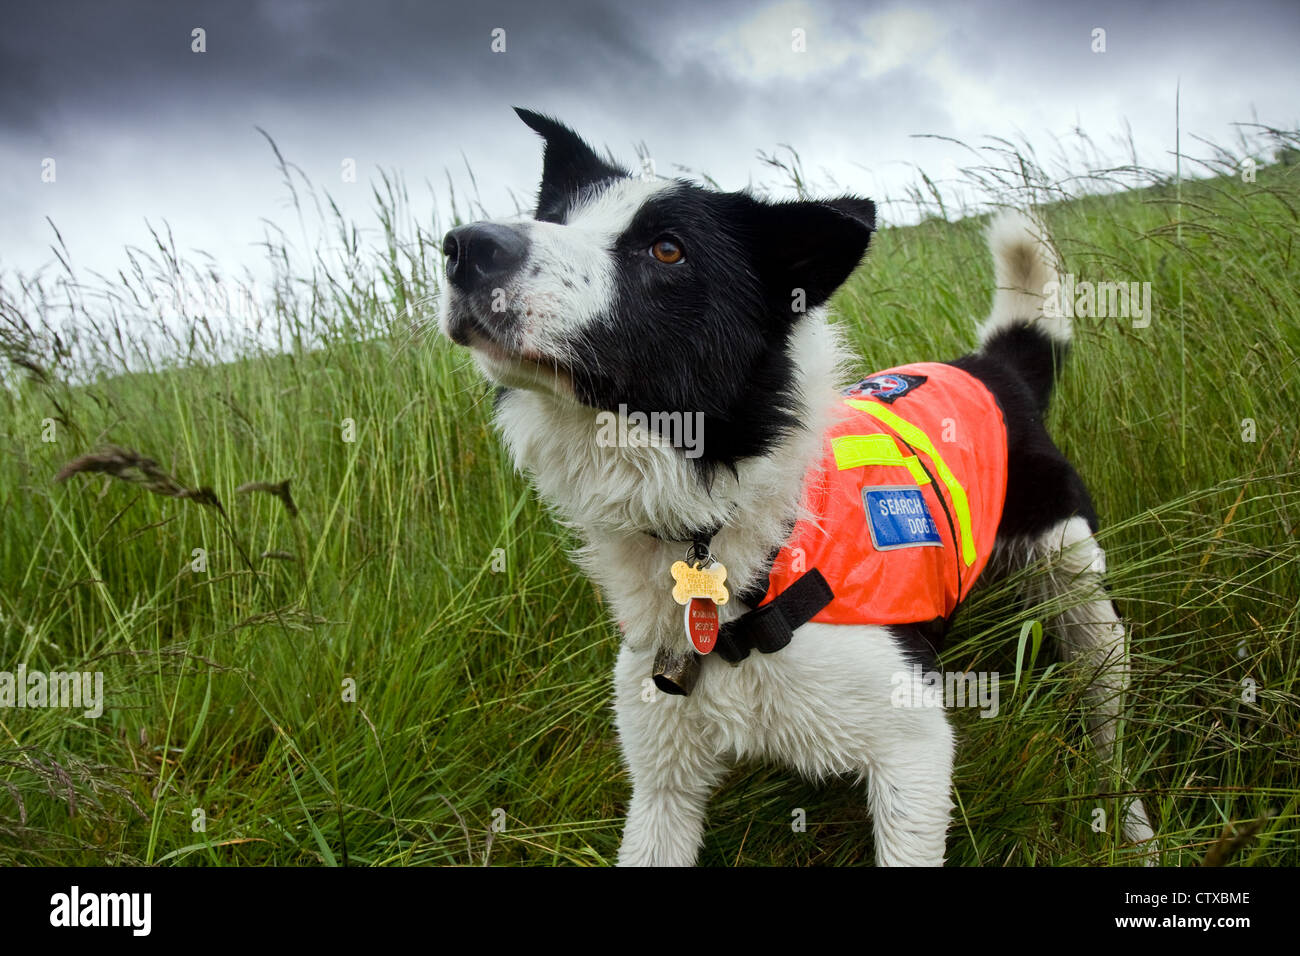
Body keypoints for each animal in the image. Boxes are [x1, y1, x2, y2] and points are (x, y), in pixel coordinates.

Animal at [439, 108, 1159, 863]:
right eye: (553, 217)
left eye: (667, 251)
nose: (465, 246)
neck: (739, 543)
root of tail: (992, 366)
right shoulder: (662, 781)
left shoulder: (914, 750)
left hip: (1083, 599)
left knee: (1107, 729)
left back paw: (1132, 830)